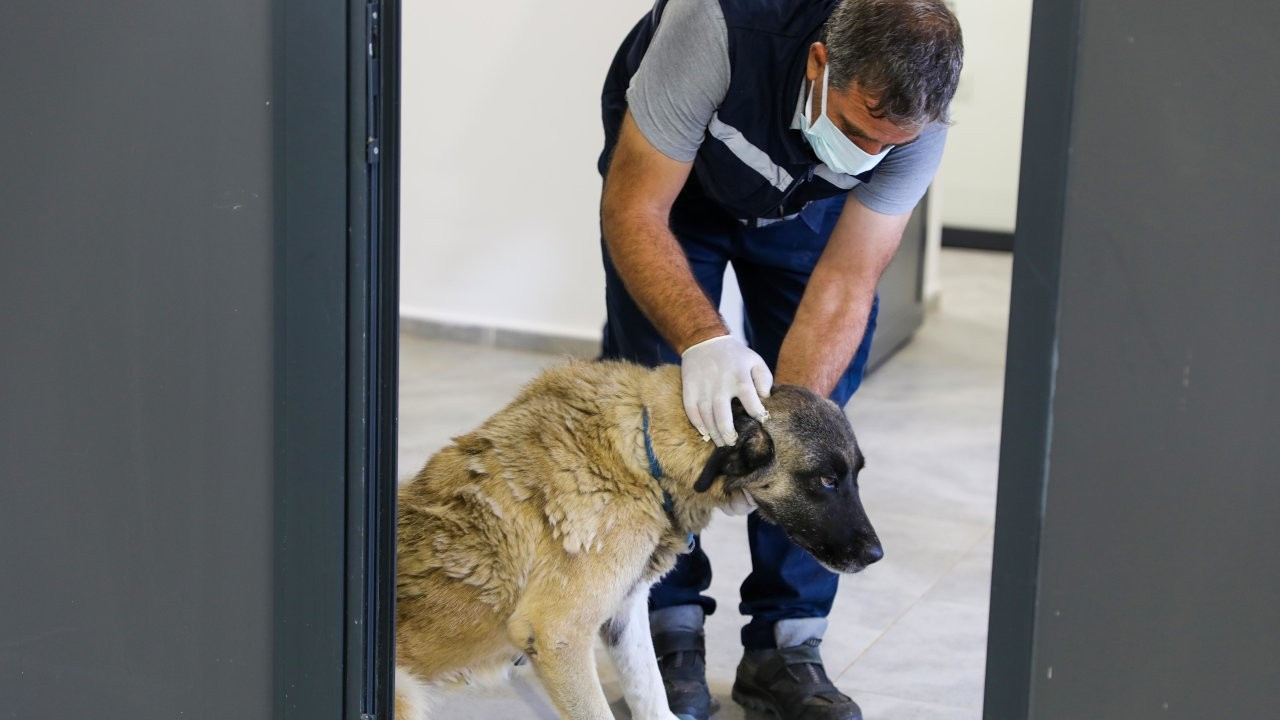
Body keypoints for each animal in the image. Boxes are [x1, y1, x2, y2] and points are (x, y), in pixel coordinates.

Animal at [396, 358, 880, 717]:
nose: (877, 554)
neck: (644, 456)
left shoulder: (625, 613)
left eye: (856, 476)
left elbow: (652, 694)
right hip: (406, 694)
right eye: (825, 480)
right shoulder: (559, 636)